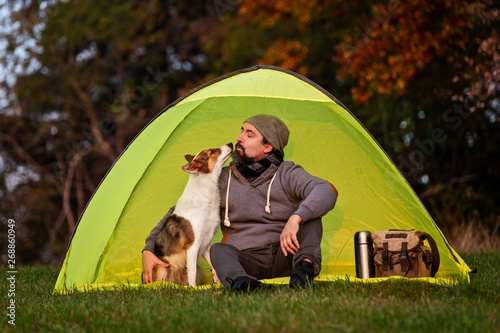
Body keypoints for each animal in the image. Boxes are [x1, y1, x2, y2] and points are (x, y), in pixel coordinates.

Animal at [151, 142, 233, 286]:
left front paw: (217, 282)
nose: (231, 143)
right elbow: (192, 272)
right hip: (161, 268)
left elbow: (213, 266)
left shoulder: (205, 245)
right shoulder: (193, 246)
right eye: (212, 152)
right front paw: (194, 289)